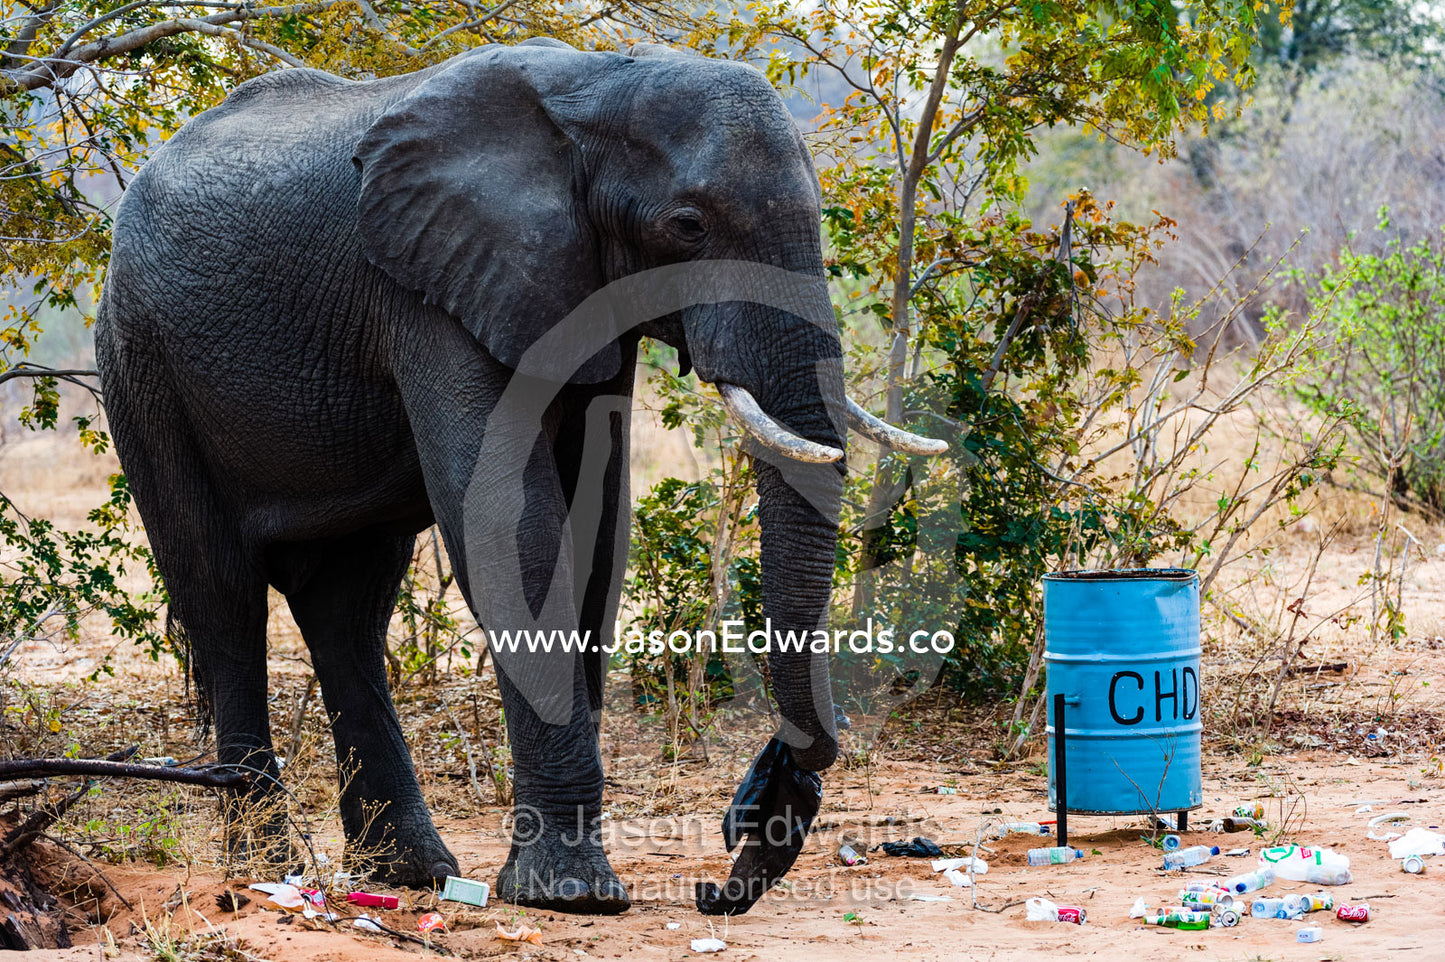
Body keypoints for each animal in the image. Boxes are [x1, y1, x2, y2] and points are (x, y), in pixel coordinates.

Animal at [94, 37, 944, 914]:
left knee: (348, 608)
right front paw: (571, 896)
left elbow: (597, 526)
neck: (597, 84)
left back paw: (409, 874)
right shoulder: (428, 289)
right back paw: (263, 874)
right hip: (139, 362)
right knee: (222, 595)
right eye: (687, 226)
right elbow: (510, 519)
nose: (721, 881)